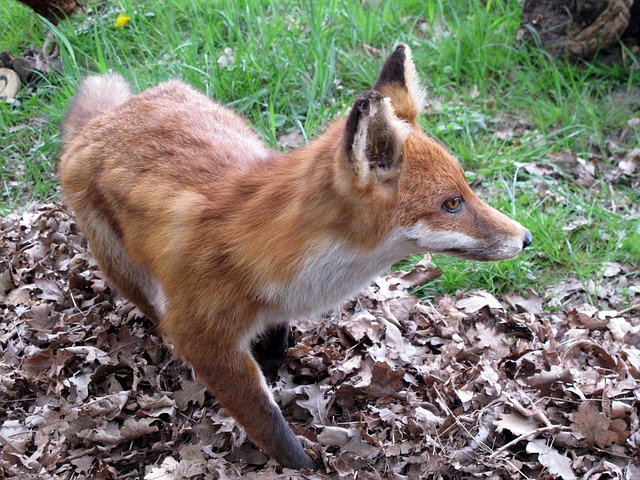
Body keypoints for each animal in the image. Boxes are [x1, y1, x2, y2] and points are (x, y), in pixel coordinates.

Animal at [58, 43, 528, 470]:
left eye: (466, 188)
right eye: (452, 204)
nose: (525, 238)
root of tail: (103, 119)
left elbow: (276, 344)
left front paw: (275, 362)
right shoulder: (204, 336)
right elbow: (268, 422)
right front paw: (303, 466)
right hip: (129, 275)